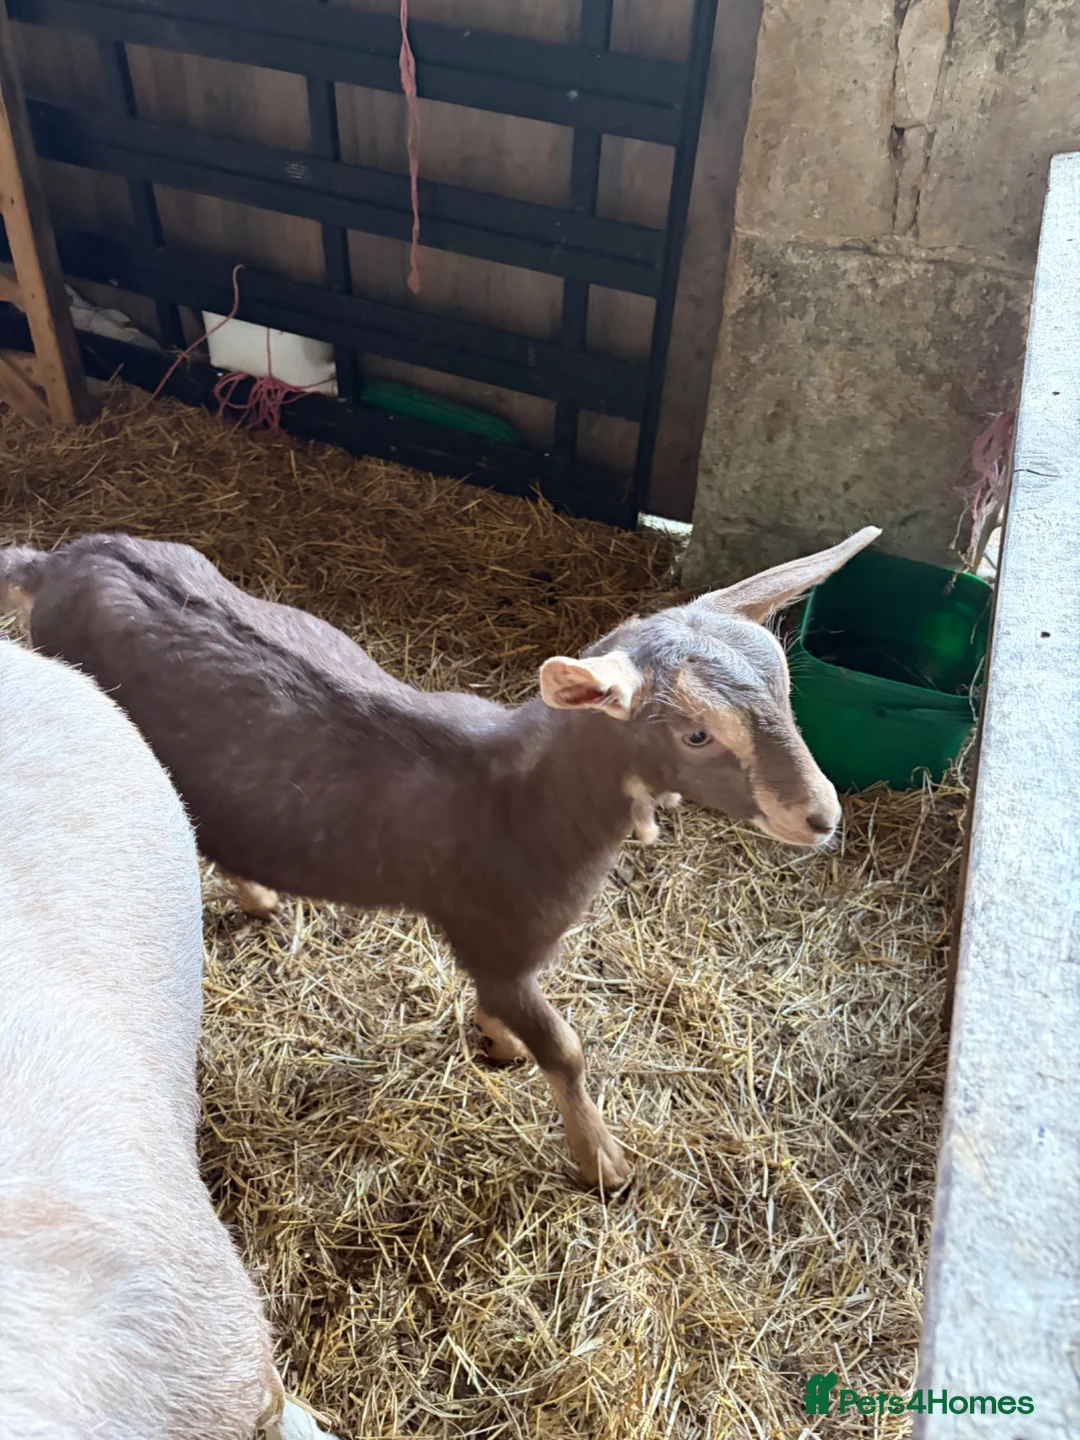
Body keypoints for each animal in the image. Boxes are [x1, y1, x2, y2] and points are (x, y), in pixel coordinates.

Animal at [1, 524, 880, 1190]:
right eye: (696, 734)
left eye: (786, 694)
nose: (822, 816)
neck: (520, 796)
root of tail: (54, 563)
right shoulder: (494, 936)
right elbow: (565, 1049)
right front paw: (603, 1162)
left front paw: (497, 1043)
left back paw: (259, 896)